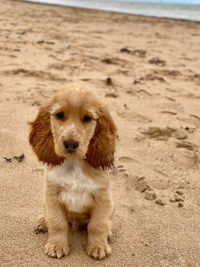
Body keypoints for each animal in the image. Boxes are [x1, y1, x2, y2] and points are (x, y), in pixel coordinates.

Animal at [28, 85, 116, 260]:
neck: (74, 162)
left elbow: (97, 224)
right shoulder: (52, 194)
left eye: (88, 118)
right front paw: (56, 246)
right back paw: (42, 222)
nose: (70, 144)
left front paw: (99, 246)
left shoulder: (102, 197)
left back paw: (108, 234)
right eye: (59, 115)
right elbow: (57, 223)